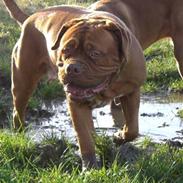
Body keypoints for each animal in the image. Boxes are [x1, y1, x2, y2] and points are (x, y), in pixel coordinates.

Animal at [2, 0, 183, 170]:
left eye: (95, 54)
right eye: (65, 50)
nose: (72, 68)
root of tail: (30, 18)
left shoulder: (132, 90)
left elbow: (132, 127)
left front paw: (119, 137)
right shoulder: (77, 103)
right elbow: (85, 138)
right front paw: (89, 168)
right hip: (23, 81)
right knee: (18, 110)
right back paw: (20, 135)